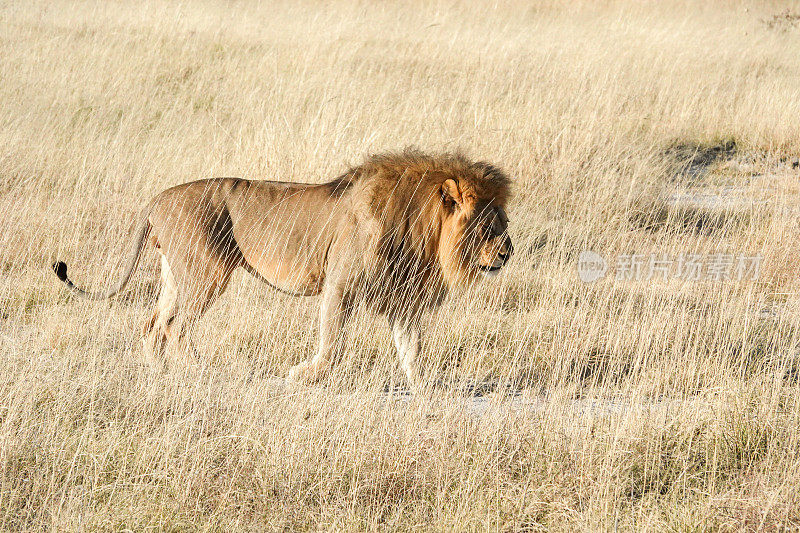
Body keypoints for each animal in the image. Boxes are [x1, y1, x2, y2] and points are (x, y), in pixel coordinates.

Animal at [53, 148, 512, 388]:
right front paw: (301, 375)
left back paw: (161, 376)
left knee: (152, 325)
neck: (420, 229)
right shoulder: (340, 285)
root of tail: (158, 198)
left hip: (176, 275)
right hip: (207, 273)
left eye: (504, 223)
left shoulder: (403, 296)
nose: (509, 254)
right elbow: (333, 345)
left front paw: (424, 390)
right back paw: (202, 372)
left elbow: (411, 348)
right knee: (175, 328)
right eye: (488, 226)